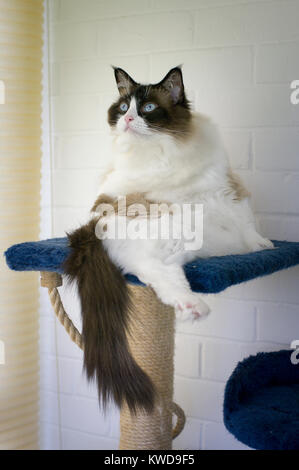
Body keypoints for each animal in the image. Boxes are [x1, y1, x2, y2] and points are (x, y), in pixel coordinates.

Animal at [64, 65, 276, 412]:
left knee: (159, 276)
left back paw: (191, 306)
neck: (160, 152)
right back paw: (194, 308)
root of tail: (91, 233)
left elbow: (247, 225)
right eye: (124, 107)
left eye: (148, 108)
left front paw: (261, 247)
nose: (128, 119)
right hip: (171, 235)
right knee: (152, 270)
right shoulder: (125, 190)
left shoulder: (226, 192)